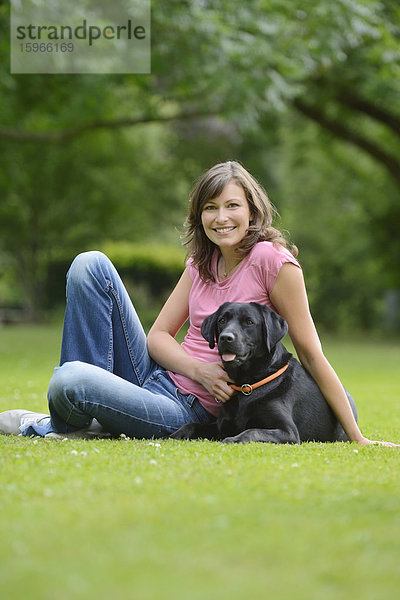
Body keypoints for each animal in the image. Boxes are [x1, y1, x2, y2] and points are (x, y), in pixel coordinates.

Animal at [170, 302, 358, 442]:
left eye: (249, 322)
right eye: (222, 320)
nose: (225, 337)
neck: (247, 384)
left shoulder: (288, 432)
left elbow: (252, 431)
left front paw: (234, 439)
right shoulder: (222, 425)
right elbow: (192, 425)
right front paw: (174, 435)